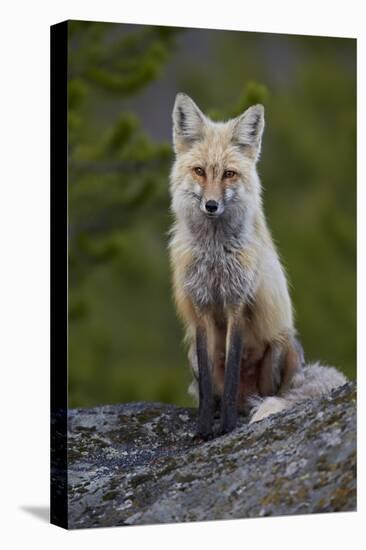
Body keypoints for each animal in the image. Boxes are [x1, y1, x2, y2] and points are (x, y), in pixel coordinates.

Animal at [169, 94, 346, 440]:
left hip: (281, 344)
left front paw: (226, 428)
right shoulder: (200, 307)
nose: (211, 205)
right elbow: (209, 385)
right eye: (199, 171)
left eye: (228, 174)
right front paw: (204, 428)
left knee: (268, 394)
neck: (215, 254)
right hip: (192, 353)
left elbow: (232, 370)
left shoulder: (238, 303)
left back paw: (248, 409)